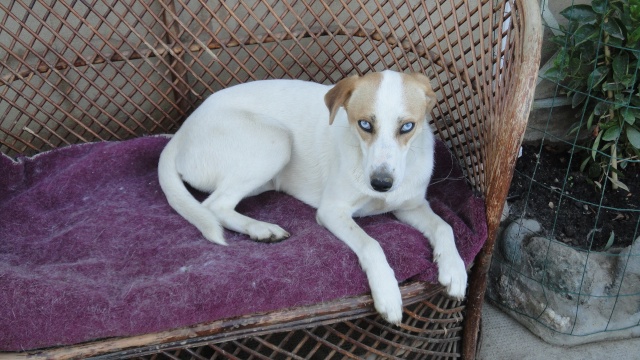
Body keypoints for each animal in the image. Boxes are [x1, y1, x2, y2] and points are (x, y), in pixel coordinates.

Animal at [156, 70, 464, 324]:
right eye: (365, 124)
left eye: (407, 127)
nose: (381, 184)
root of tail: (180, 133)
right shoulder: (332, 211)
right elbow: (371, 244)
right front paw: (388, 293)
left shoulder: (411, 206)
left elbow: (445, 226)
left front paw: (455, 269)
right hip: (276, 140)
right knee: (213, 205)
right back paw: (262, 229)